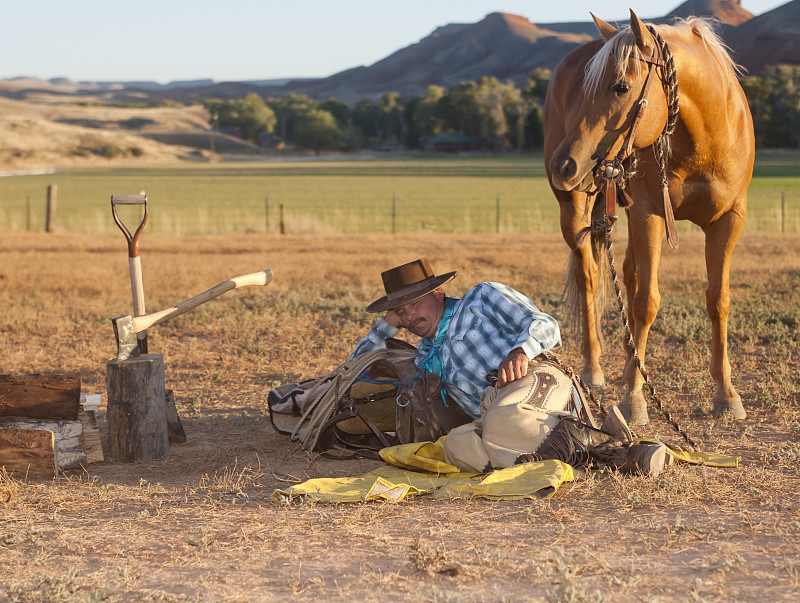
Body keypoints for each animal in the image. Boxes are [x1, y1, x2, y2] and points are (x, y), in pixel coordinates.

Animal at [544, 9, 756, 424]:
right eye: (584, 91)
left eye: (621, 87)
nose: (563, 164)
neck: (704, 137)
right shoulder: (649, 214)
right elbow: (647, 302)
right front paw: (635, 399)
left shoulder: (729, 219)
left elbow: (718, 300)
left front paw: (726, 394)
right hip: (575, 210)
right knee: (589, 277)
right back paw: (595, 369)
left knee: (626, 274)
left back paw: (630, 362)